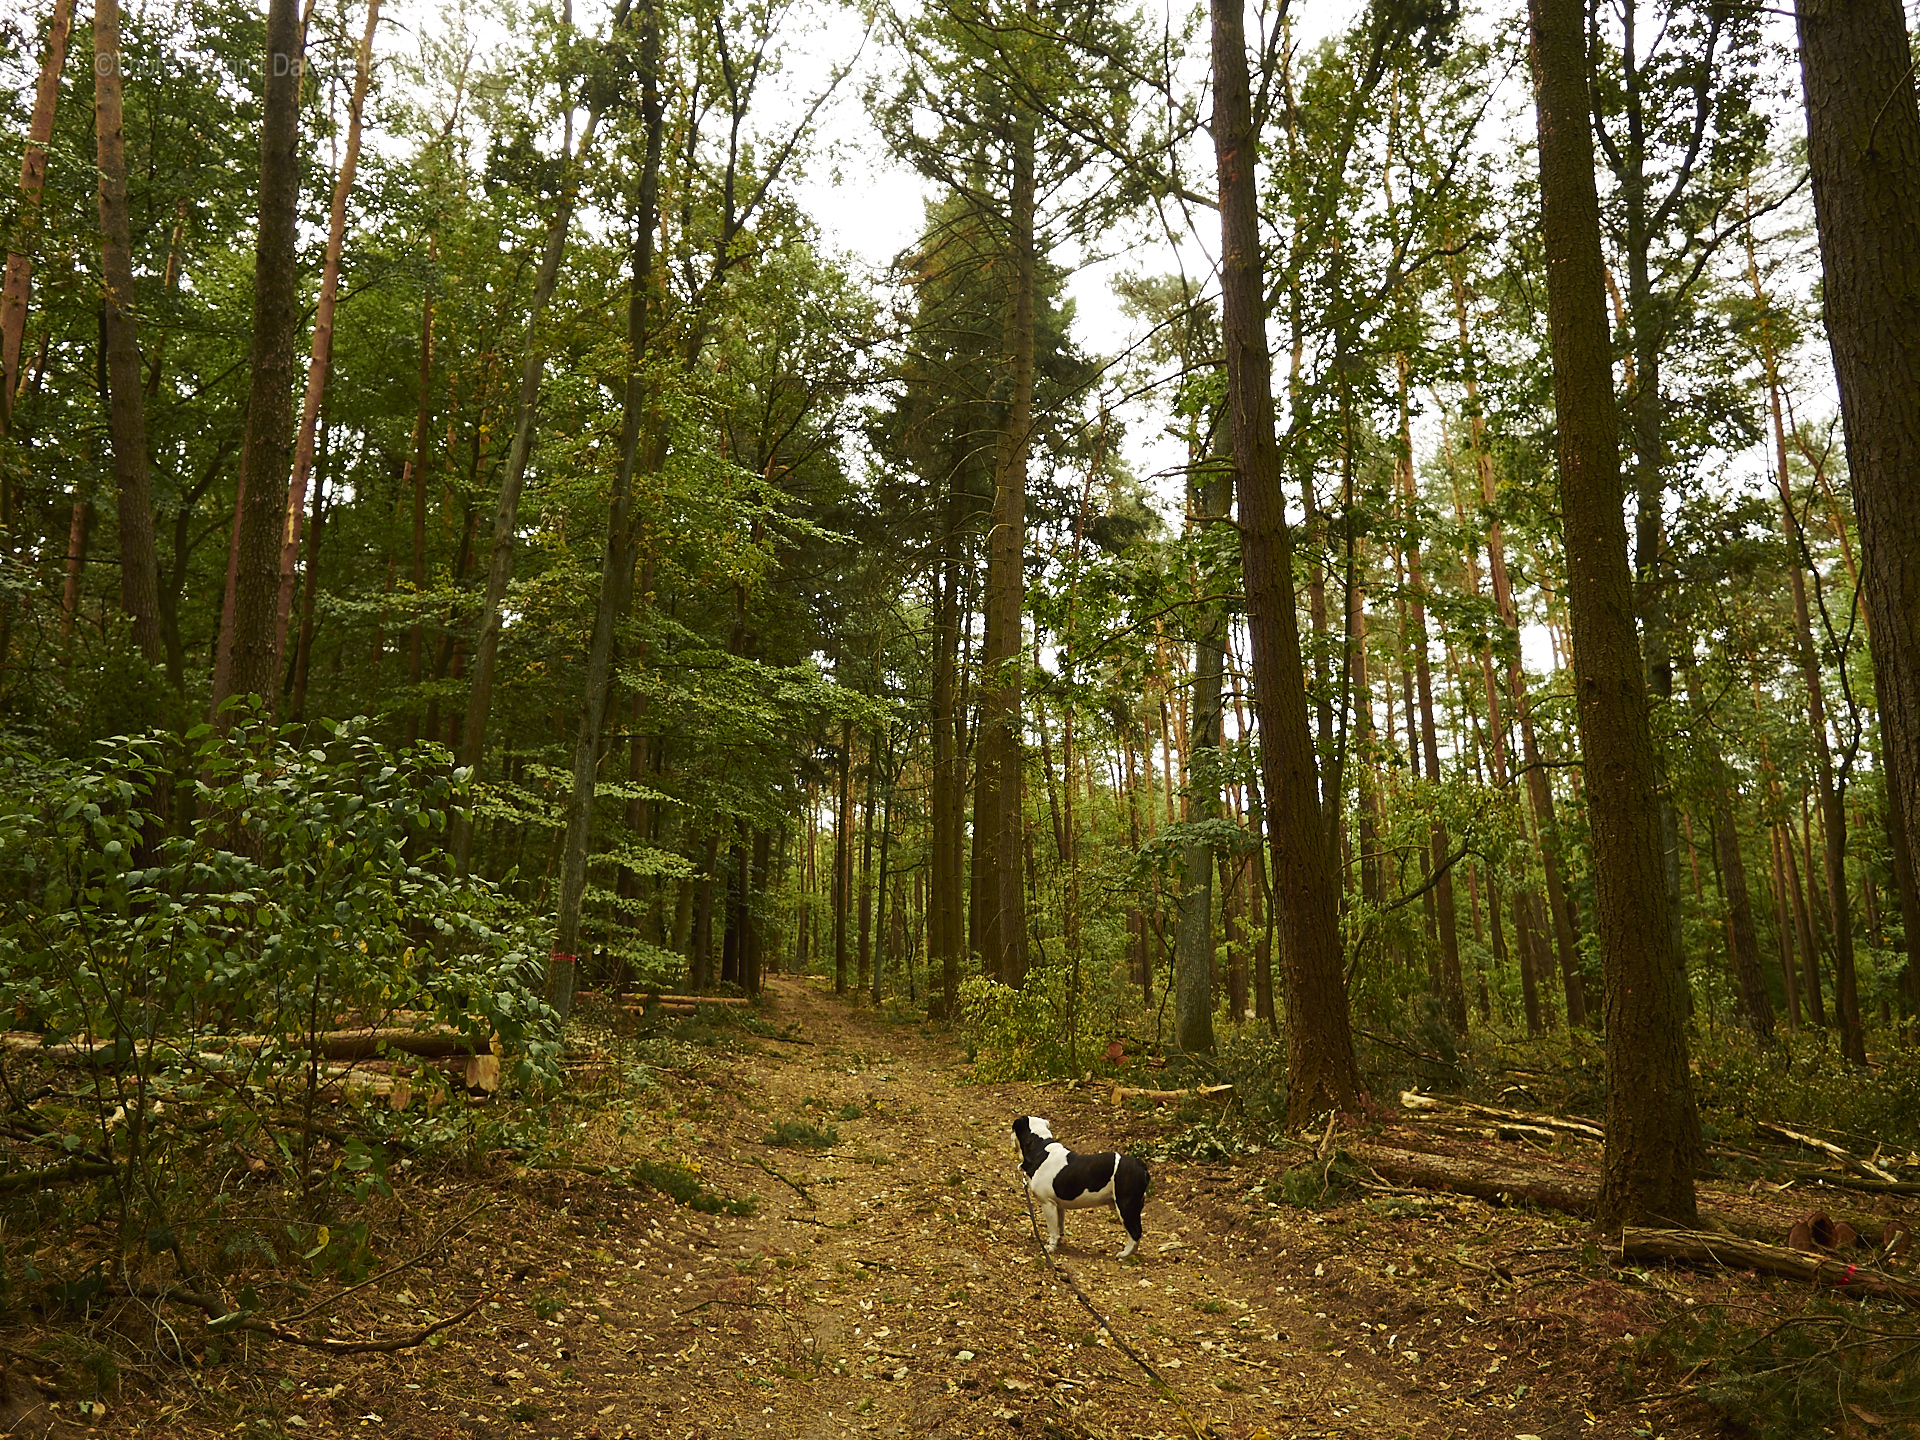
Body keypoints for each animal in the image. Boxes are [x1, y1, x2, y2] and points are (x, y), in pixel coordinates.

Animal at [1013, 1113, 1144, 1259]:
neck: (1040, 1148)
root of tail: (1139, 1164)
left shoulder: (1047, 1204)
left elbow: (1052, 1229)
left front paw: (1050, 1247)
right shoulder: (1058, 1206)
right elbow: (1059, 1225)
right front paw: (1058, 1240)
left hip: (1125, 1206)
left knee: (1135, 1232)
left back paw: (1124, 1254)